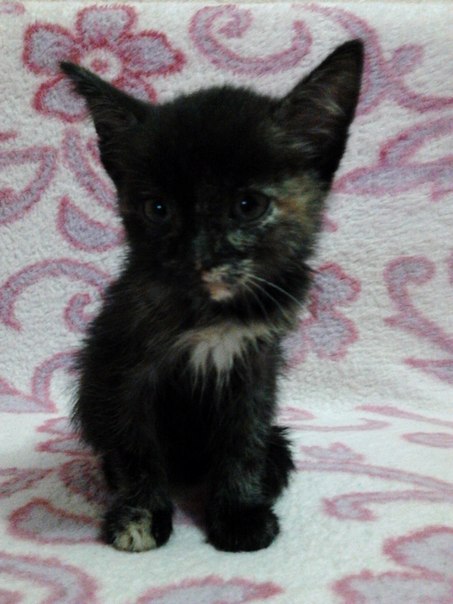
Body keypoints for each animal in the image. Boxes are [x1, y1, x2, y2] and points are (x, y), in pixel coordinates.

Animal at [60, 39, 363, 553]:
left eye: (248, 205)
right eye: (157, 208)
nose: (197, 255)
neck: (214, 313)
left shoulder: (257, 363)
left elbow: (245, 439)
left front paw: (239, 512)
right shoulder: (122, 366)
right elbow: (134, 445)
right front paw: (140, 514)